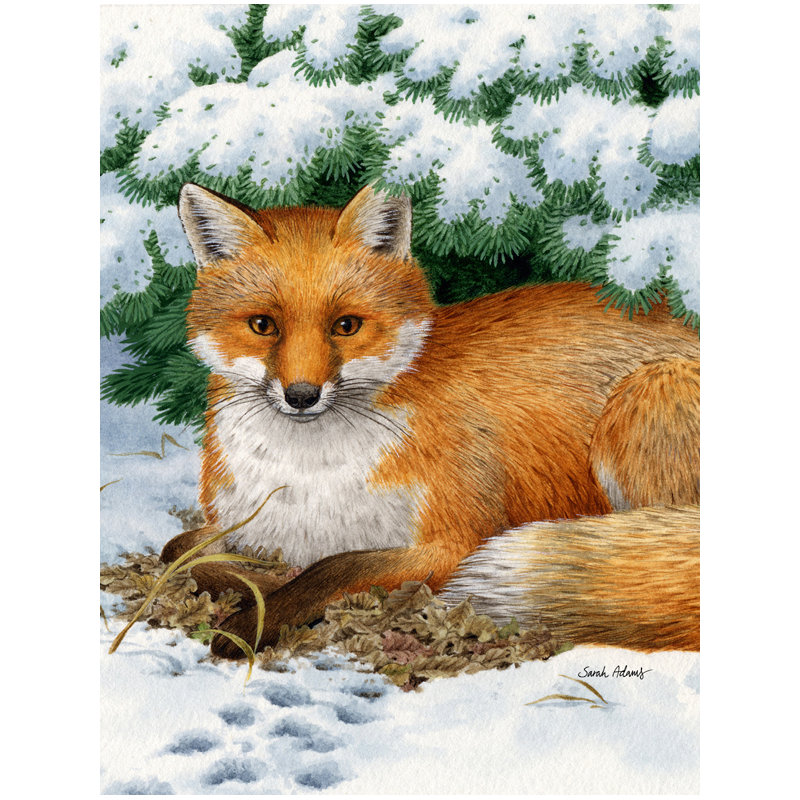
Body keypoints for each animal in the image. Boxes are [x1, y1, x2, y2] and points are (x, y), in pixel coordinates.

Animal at [161, 182, 700, 659]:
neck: (309, 480)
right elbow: (180, 552)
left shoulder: (456, 543)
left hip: (645, 395)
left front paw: (254, 620)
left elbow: (335, 569)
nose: (301, 396)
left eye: (346, 326)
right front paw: (259, 580)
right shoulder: (239, 522)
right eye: (262, 325)